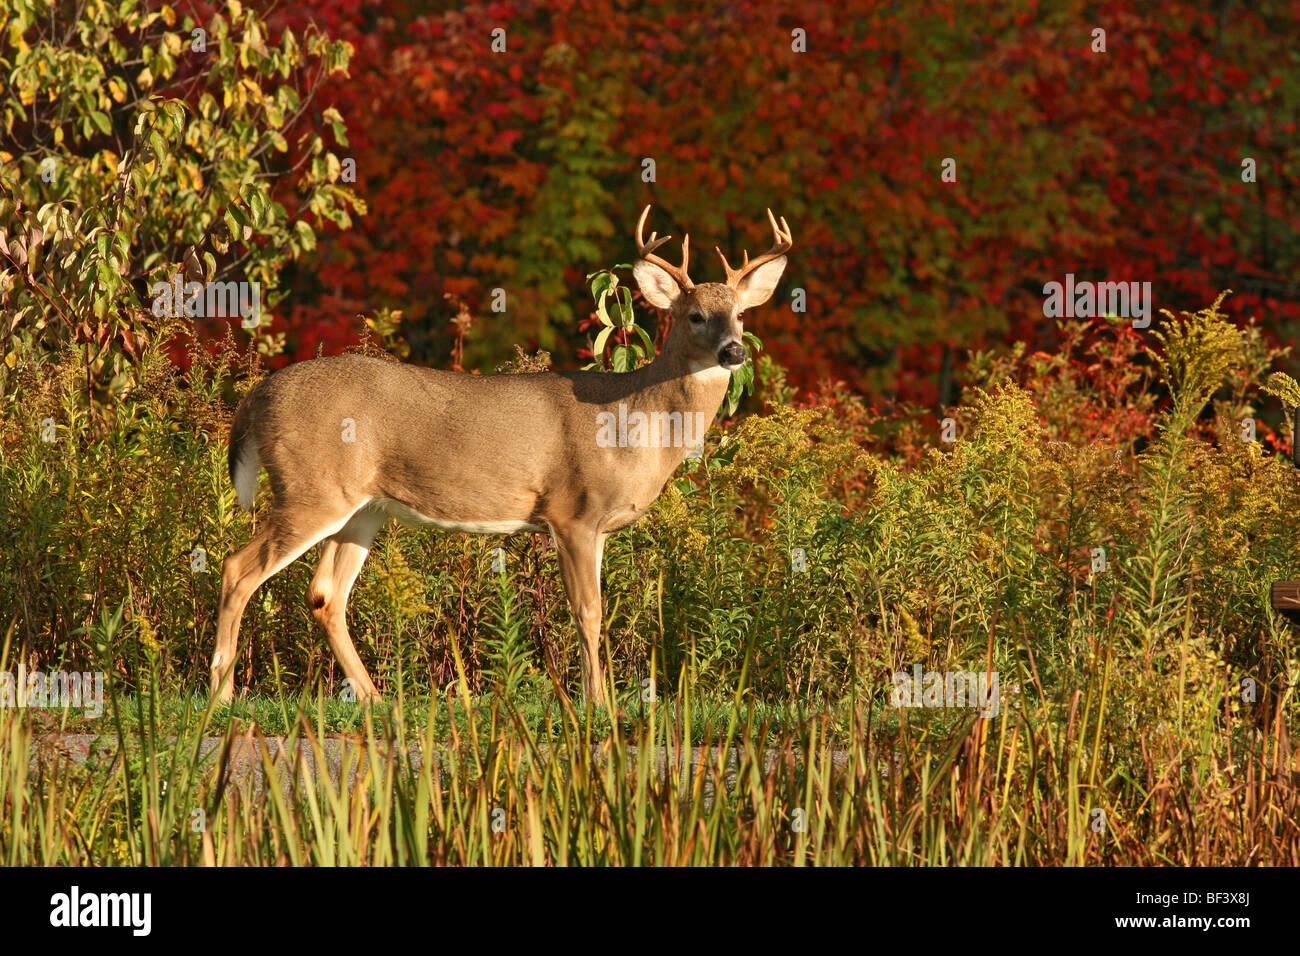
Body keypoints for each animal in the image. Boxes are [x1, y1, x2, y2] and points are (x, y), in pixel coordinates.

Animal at [209, 205, 792, 707]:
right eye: (694, 315)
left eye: (741, 314)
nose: (733, 351)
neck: (634, 421)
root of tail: (257, 395)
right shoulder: (572, 511)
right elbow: (588, 612)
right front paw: (598, 704)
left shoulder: (596, 526)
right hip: (311, 488)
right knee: (237, 567)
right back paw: (221, 692)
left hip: (362, 508)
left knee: (325, 593)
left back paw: (374, 698)